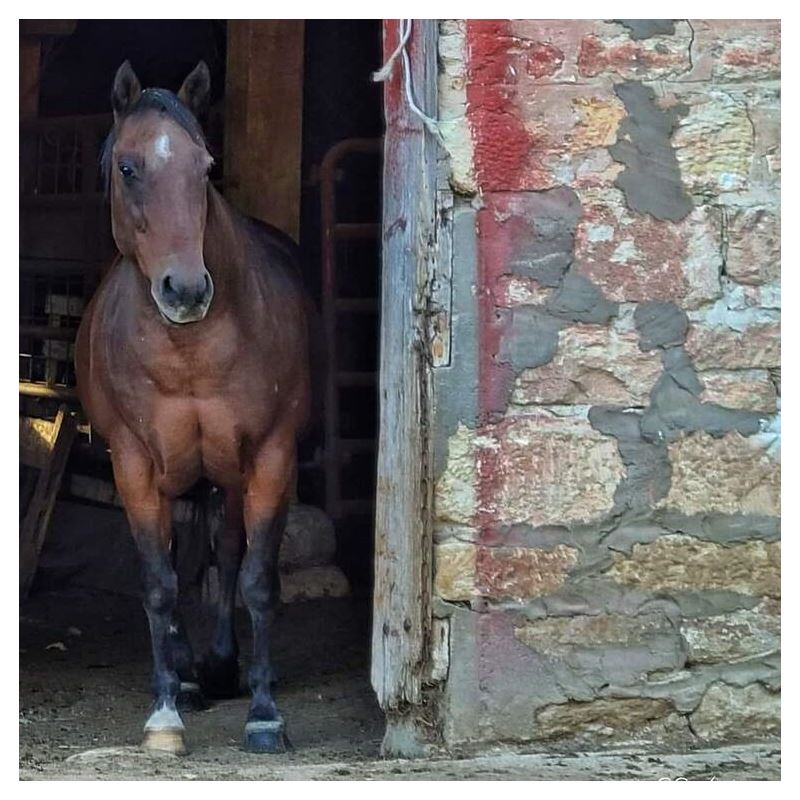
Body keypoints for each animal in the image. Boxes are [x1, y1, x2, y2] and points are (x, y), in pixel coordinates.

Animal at [75, 59, 310, 752]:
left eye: (205, 167)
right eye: (128, 167)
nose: (184, 290)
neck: (191, 350)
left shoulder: (270, 457)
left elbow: (256, 579)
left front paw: (264, 713)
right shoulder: (132, 463)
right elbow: (158, 583)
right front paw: (164, 715)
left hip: (225, 474)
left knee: (225, 555)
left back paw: (222, 667)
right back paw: (184, 677)